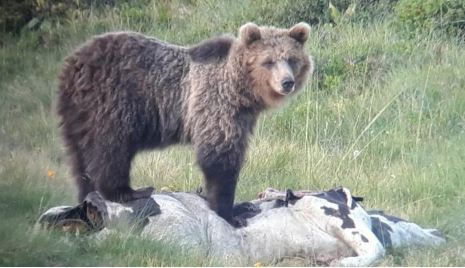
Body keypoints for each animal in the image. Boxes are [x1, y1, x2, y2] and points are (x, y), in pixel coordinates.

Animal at [57, 22, 312, 226]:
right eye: (268, 61)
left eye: (292, 59)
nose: (287, 82)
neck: (241, 90)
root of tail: (73, 64)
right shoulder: (216, 104)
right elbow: (219, 156)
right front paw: (230, 213)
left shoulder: (243, 115)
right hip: (112, 102)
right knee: (111, 148)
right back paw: (128, 191)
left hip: (78, 114)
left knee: (80, 157)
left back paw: (87, 194)